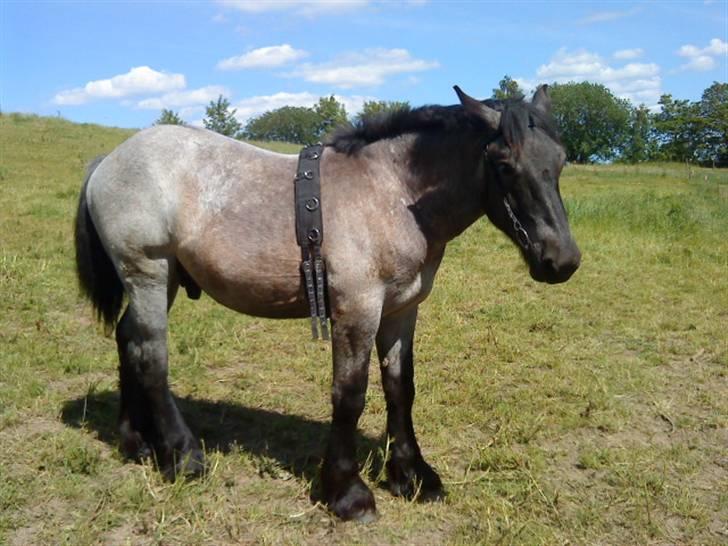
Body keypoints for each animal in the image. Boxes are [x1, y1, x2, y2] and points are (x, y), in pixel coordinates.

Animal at [75, 84, 580, 520]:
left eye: (559, 161)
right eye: (504, 163)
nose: (562, 261)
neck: (390, 191)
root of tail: (108, 161)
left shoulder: (401, 310)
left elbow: (401, 387)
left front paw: (412, 475)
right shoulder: (357, 309)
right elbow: (349, 394)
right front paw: (347, 492)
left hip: (161, 283)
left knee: (127, 340)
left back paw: (135, 441)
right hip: (149, 274)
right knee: (150, 357)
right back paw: (182, 455)